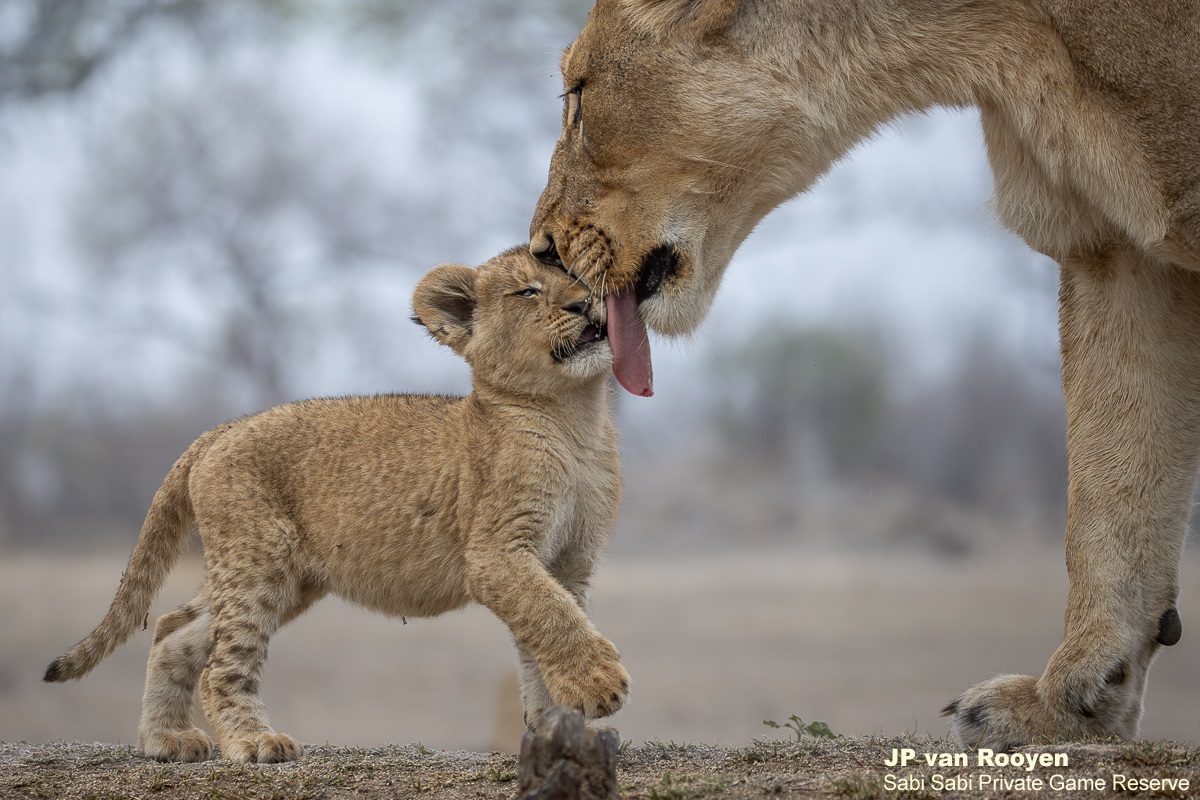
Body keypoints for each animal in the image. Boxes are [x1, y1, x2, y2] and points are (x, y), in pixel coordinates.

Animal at [43, 246, 629, 763]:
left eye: (578, 277)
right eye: (528, 291)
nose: (584, 304)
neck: (576, 417)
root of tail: (221, 430)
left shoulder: (568, 561)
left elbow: (544, 634)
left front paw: (558, 725)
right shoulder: (497, 550)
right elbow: (552, 616)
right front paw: (600, 683)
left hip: (284, 577)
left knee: (173, 630)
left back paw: (165, 740)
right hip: (258, 559)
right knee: (219, 665)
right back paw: (255, 742)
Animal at [528, 0, 1200, 749]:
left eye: (578, 93)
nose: (542, 248)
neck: (1007, 39)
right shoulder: (1113, 244)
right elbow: (1112, 489)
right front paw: (1070, 708)